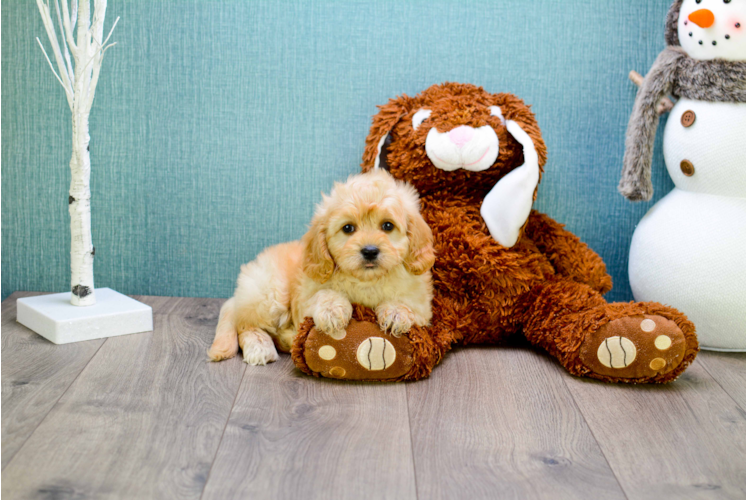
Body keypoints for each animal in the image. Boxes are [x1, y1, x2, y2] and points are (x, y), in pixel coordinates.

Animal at [207, 170, 436, 366]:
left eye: (387, 226)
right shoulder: (306, 295)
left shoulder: (422, 305)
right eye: (348, 228)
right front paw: (332, 310)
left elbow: (407, 303)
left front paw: (396, 313)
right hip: (269, 291)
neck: (366, 281)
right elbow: (324, 294)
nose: (370, 251)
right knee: (245, 323)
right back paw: (261, 347)